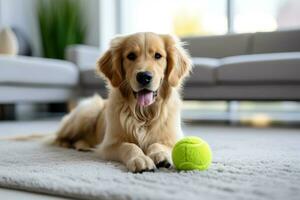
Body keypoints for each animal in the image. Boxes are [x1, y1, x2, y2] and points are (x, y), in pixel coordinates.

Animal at [54, 32, 191, 173]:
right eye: (131, 56)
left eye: (158, 56)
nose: (144, 76)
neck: (143, 114)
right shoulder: (109, 146)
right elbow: (129, 146)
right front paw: (140, 159)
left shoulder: (174, 139)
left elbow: (158, 144)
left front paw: (160, 154)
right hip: (88, 111)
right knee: (58, 136)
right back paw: (69, 144)